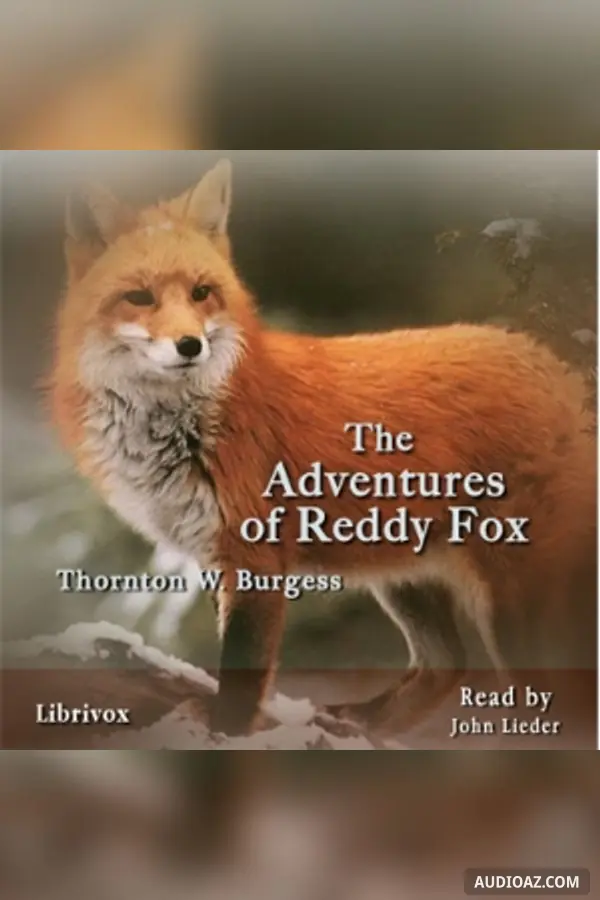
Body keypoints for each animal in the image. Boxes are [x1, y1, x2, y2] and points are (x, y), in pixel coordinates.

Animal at [49, 159, 597, 737]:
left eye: (201, 293)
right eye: (140, 297)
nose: (190, 345)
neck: (183, 425)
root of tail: (559, 367)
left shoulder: (256, 557)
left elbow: (242, 676)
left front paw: (224, 734)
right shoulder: (218, 555)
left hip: (510, 606)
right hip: (403, 579)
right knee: (446, 666)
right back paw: (366, 724)